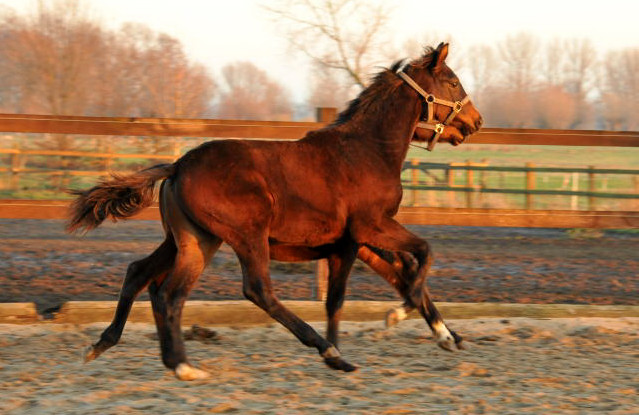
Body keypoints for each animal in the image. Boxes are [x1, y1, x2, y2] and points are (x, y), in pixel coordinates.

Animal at [67, 44, 482, 382]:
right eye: (453, 81)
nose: (476, 122)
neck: (367, 151)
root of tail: (178, 165)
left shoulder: (360, 240)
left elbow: (401, 272)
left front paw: (446, 334)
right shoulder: (366, 231)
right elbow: (400, 266)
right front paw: (384, 324)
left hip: (190, 239)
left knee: (151, 280)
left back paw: (140, 353)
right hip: (241, 237)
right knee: (252, 290)